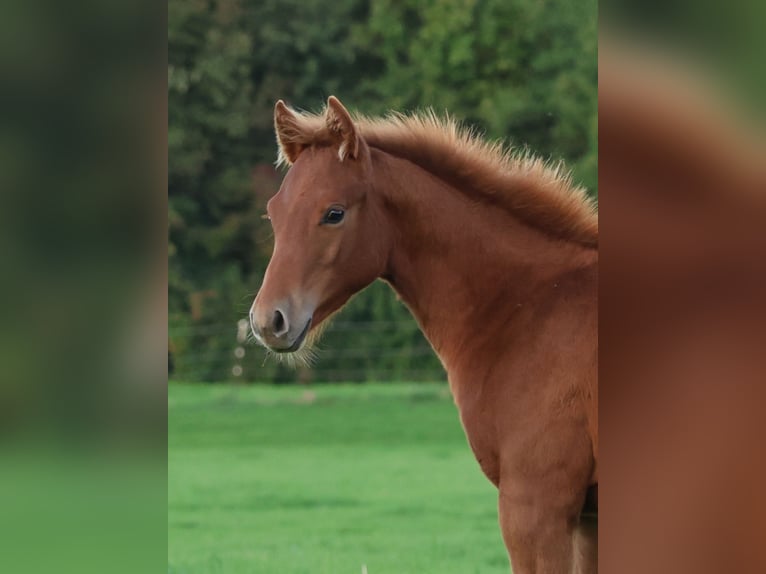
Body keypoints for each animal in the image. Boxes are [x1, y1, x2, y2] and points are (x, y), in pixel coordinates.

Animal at [249, 96, 598, 573]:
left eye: (334, 213)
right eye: (273, 213)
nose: (268, 320)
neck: (530, 306)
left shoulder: (536, 507)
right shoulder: (587, 519)